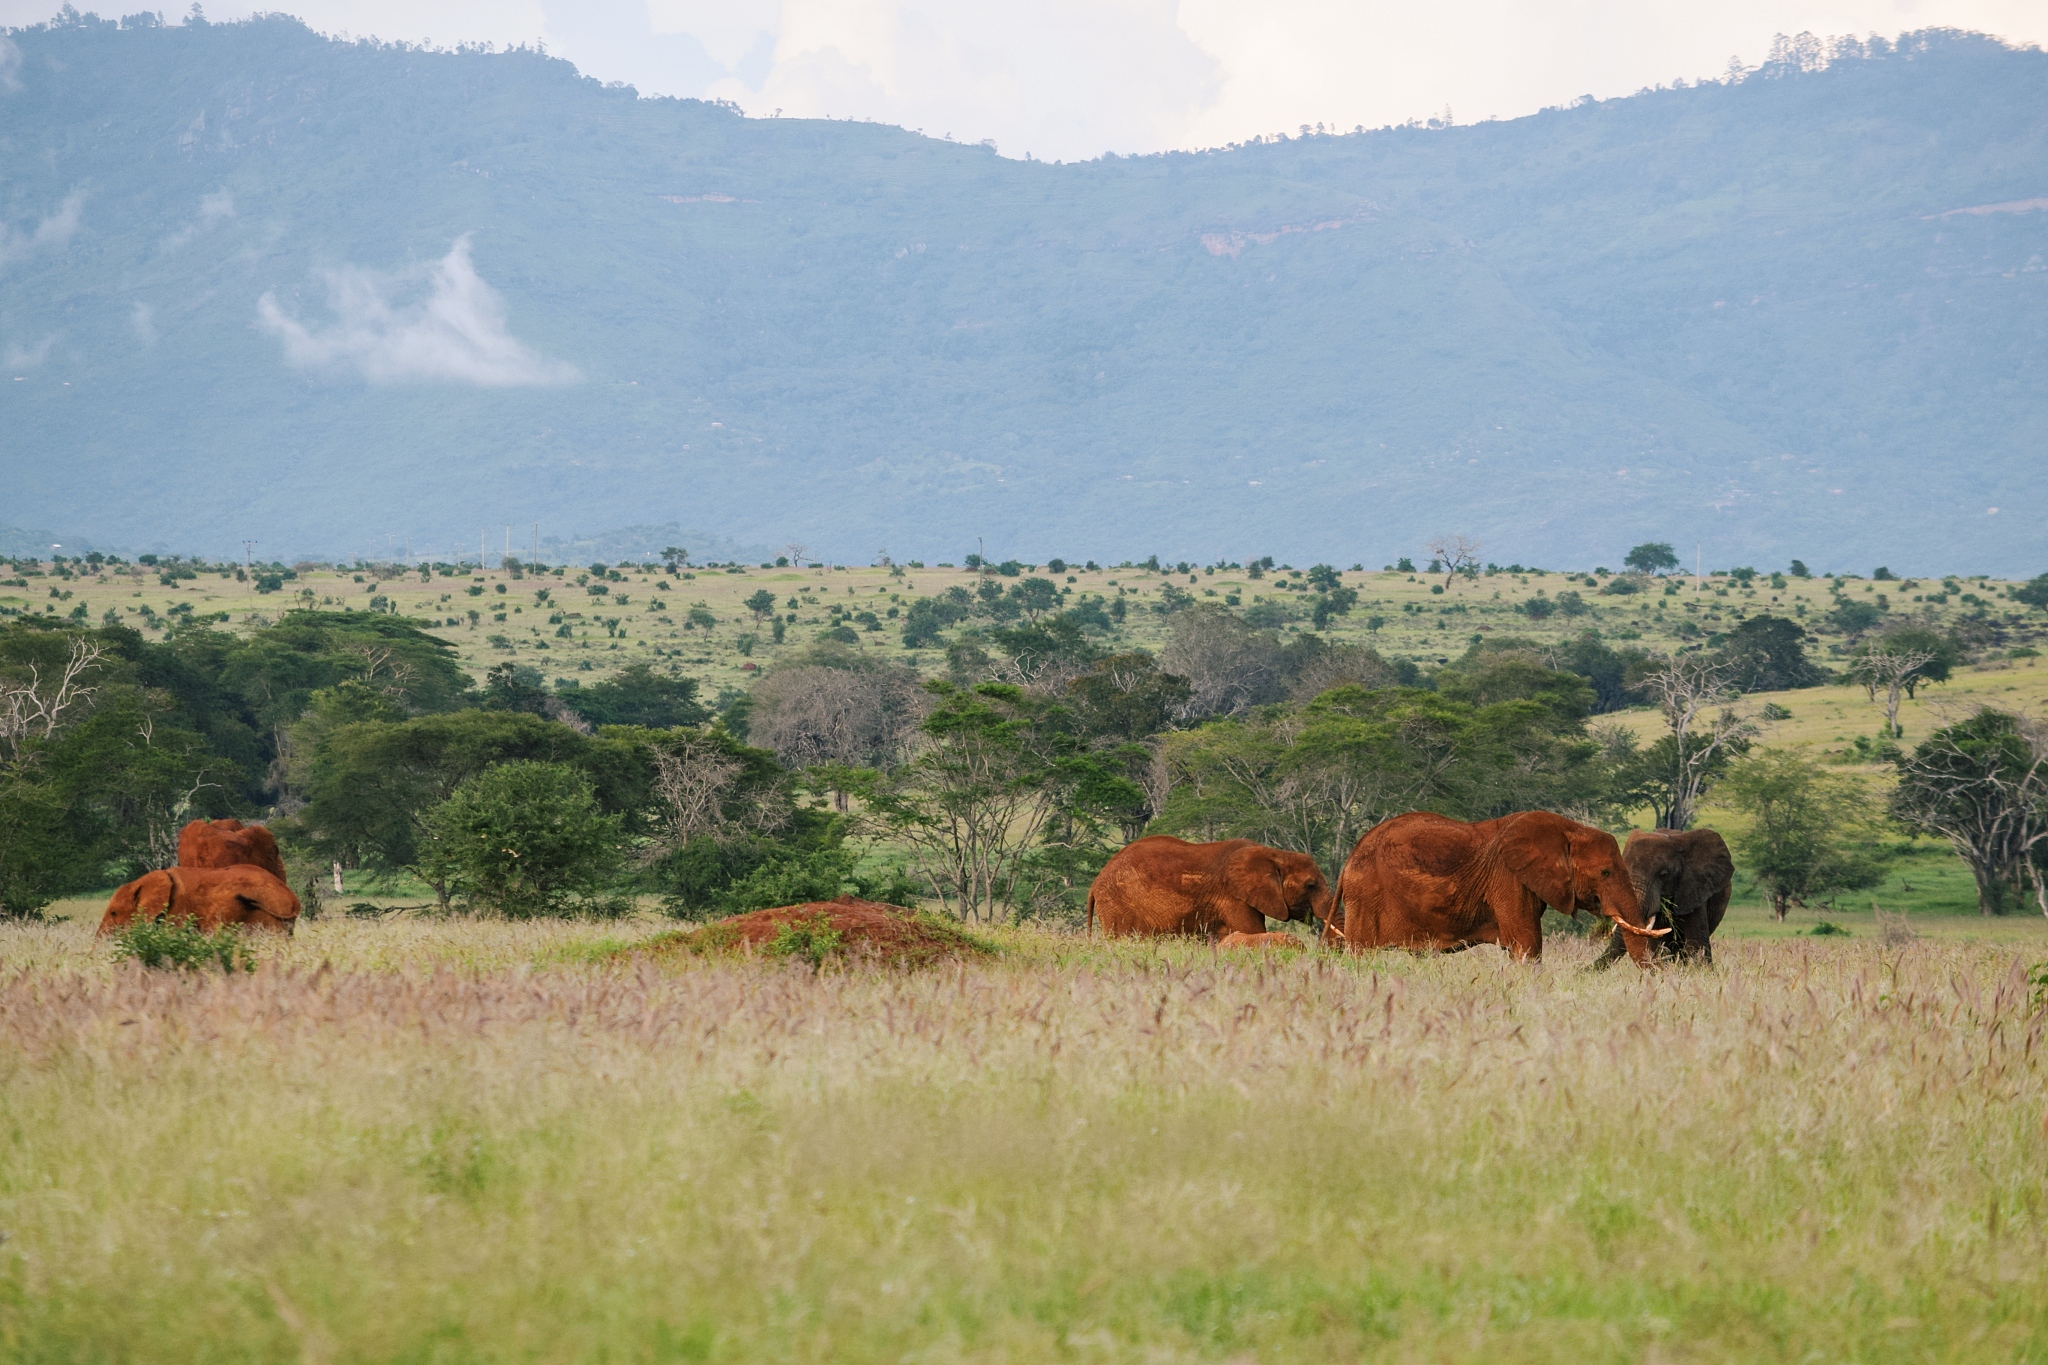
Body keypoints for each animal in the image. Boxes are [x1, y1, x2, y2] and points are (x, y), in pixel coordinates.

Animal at [1086, 837, 1335, 939]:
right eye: (1310, 885)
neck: (1274, 853)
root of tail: (1094, 884)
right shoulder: (1233, 898)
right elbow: (1252, 931)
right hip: (1118, 905)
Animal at [1334, 810, 1668, 964]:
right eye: (1605, 872)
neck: (1568, 829)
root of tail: (1349, 859)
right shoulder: (1508, 879)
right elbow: (1527, 945)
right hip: (1366, 897)